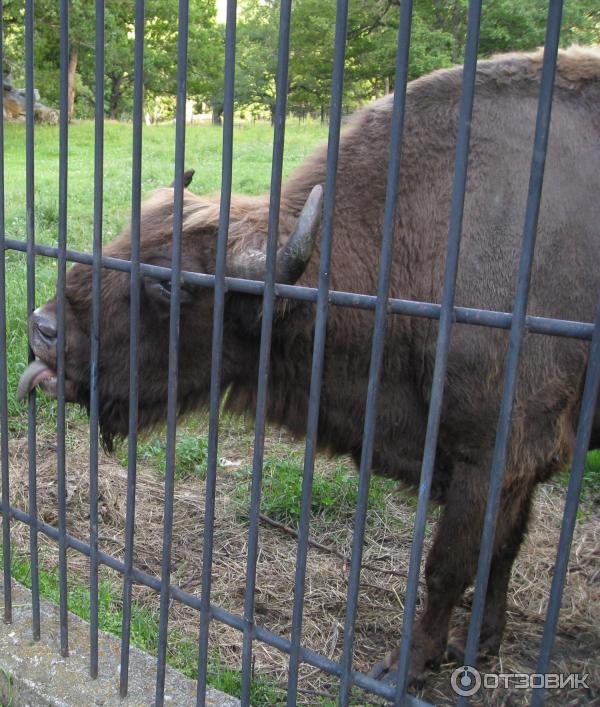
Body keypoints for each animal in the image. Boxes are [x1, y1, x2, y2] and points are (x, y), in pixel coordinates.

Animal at [17, 45, 600, 684]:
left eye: (172, 285)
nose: (43, 330)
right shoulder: (517, 468)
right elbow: (501, 551)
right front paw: (481, 643)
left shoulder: (495, 457)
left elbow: (451, 565)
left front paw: (405, 667)